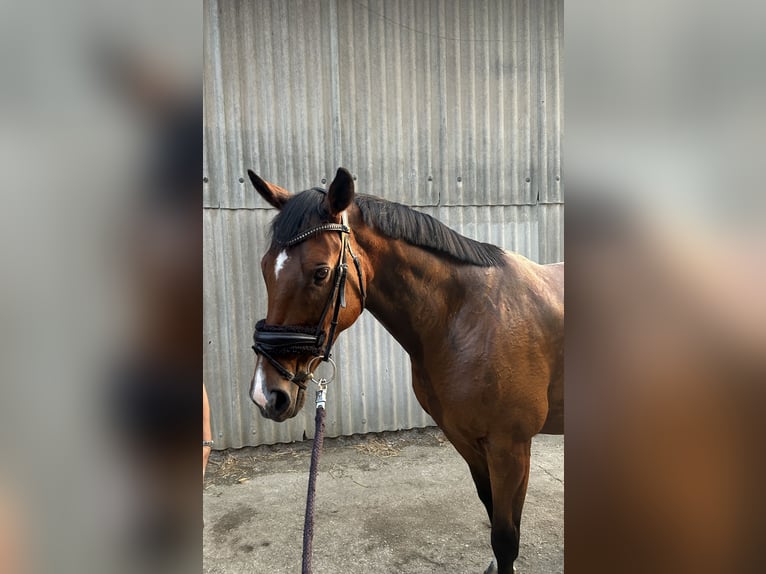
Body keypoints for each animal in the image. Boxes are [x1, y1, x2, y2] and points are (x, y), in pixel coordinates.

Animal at [246, 167, 564, 574]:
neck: (470, 317)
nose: (266, 393)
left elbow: (506, 539)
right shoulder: (466, 439)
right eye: (265, 267)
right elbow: (492, 511)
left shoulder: (511, 446)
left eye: (321, 272)